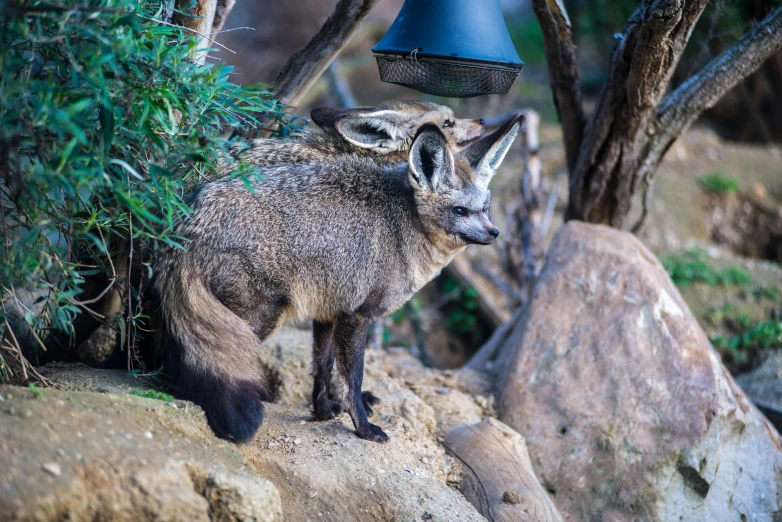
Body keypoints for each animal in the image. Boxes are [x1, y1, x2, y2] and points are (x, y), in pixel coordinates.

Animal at [149, 107, 524, 440]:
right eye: (460, 211)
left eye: (485, 209)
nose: (494, 234)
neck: (402, 227)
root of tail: (190, 218)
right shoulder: (356, 317)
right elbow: (352, 380)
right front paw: (363, 428)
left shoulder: (328, 309)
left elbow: (323, 366)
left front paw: (322, 411)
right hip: (257, 319)